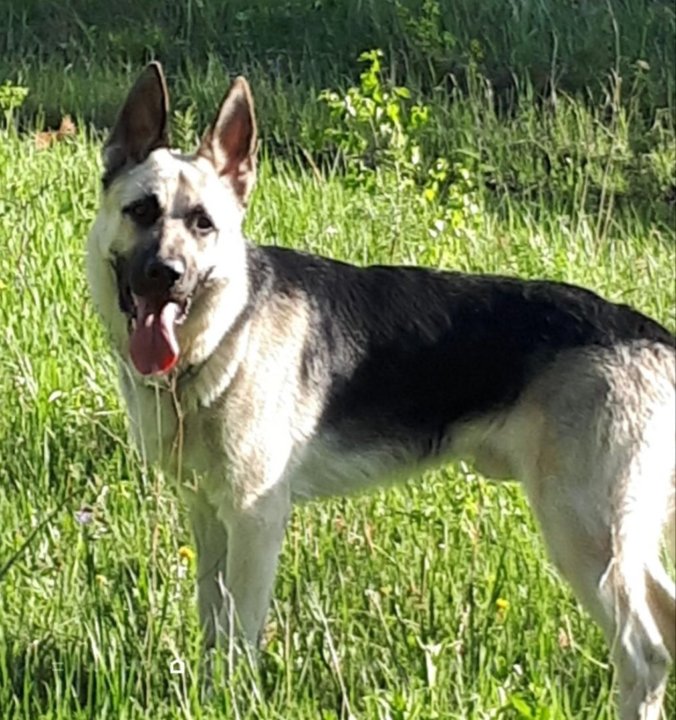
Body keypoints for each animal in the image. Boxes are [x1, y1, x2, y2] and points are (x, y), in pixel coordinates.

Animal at [86, 63, 675, 719]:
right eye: (141, 210)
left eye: (202, 224)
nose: (165, 275)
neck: (226, 329)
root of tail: (650, 334)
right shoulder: (208, 513)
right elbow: (215, 624)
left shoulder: (254, 518)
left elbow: (239, 635)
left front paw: (228, 702)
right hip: (622, 538)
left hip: (584, 536)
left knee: (644, 655)